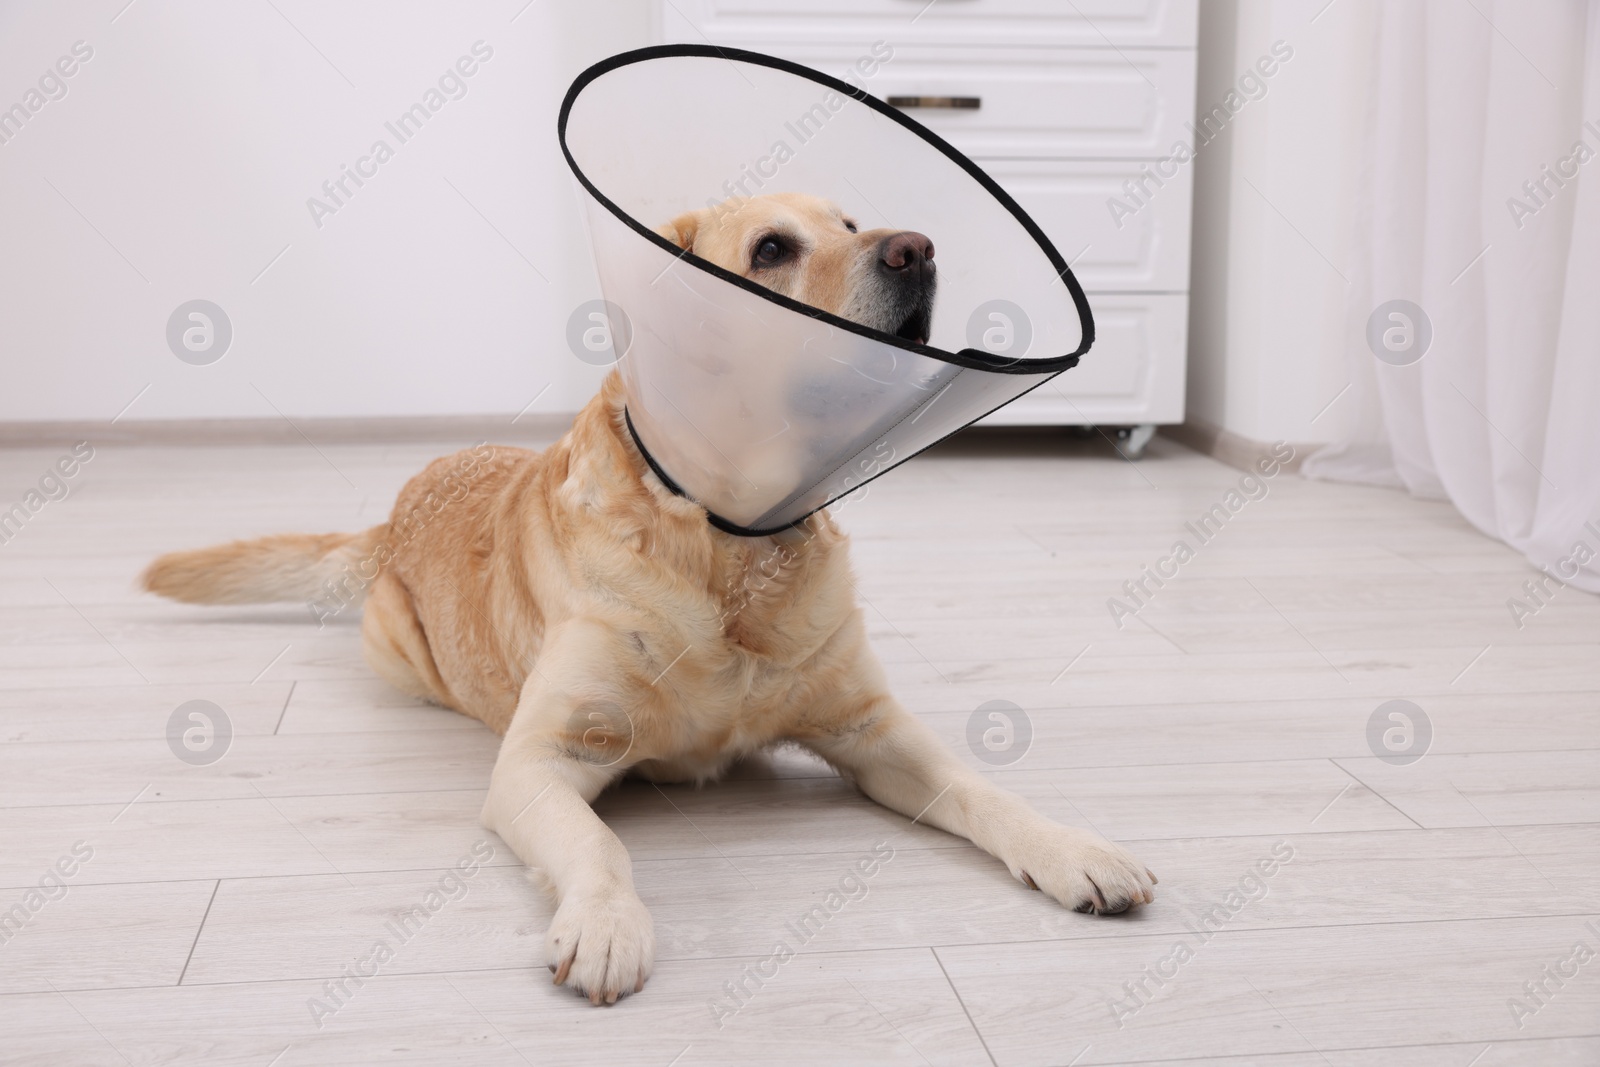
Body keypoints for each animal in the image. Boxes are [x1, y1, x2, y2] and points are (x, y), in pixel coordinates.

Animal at [144, 194, 1158, 1011]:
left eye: (854, 222)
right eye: (773, 248)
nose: (919, 248)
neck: (730, 539)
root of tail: (392, 514)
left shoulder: (871, 726)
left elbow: (981, 787)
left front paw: (1075, 848)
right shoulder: (542, 757)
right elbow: (600, 846)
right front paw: (606, 926)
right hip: (399, 651)